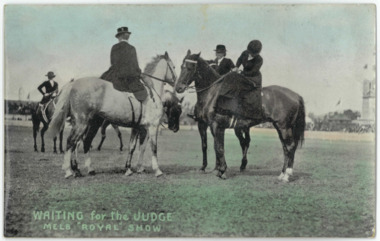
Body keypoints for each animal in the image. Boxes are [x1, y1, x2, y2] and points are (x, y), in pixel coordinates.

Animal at [47, 51, 183, 178]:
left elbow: (134, 147)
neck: (152, 91)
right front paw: (157, 170)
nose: (178, 85)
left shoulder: (138, 127)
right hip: (83, 123)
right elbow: (152, 147)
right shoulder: (152, 127)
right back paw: (69, 171)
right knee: (72, 142)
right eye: (173, 67)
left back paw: (83, 169)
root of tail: (74, 84)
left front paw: (130, 169)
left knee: (81, 142)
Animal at [176, 50, 306, 183]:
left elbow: (219, 148)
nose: (179, 88)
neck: (212, 94)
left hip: (284, 127)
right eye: (181, 67)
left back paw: (287, 175)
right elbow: (212, 146)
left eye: (190, 67)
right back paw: (281, 174)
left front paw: (222, 171)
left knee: (290, 146)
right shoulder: (208, 126)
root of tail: (296, 96)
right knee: (285, 148)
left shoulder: (217, 126)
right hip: (279, 127)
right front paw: (216, 169)